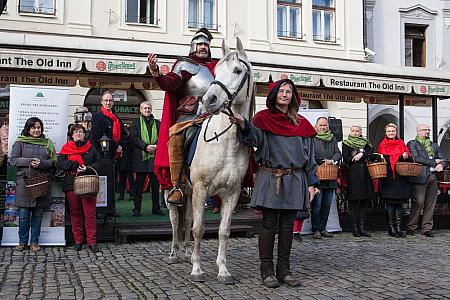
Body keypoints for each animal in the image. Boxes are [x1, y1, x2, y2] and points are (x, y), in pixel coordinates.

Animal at [163, 37, 253, 284]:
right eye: (218, 71)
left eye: (238, 70)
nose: (209, 99)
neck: (224, 143)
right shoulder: (202, 188)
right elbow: (199, 228)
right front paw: (197, 269)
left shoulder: (231, 193)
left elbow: (223, 230)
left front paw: (223, 270)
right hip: (172, 188)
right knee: (175, 219)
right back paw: (174, 253)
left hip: (190, 190)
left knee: (186, 218)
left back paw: (185, 251)